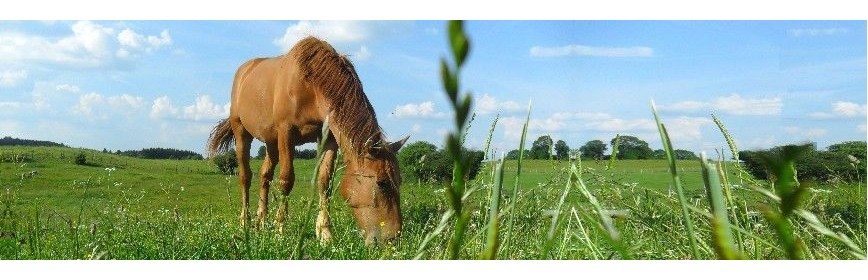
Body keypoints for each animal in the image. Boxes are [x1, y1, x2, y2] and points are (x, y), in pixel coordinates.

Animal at [207, 36, 406, 243]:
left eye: (399, 180)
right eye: (381, 183)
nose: (394, 238)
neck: (310, 85)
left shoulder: (329, 139)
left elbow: (325, 181)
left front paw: (325, 233)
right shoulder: (286, 133)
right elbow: (286, 179)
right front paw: (280, 229)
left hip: (271, 142)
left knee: (265, 176)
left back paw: (261, 221)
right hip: (242, 133)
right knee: (245, 177)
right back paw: (245, 222)